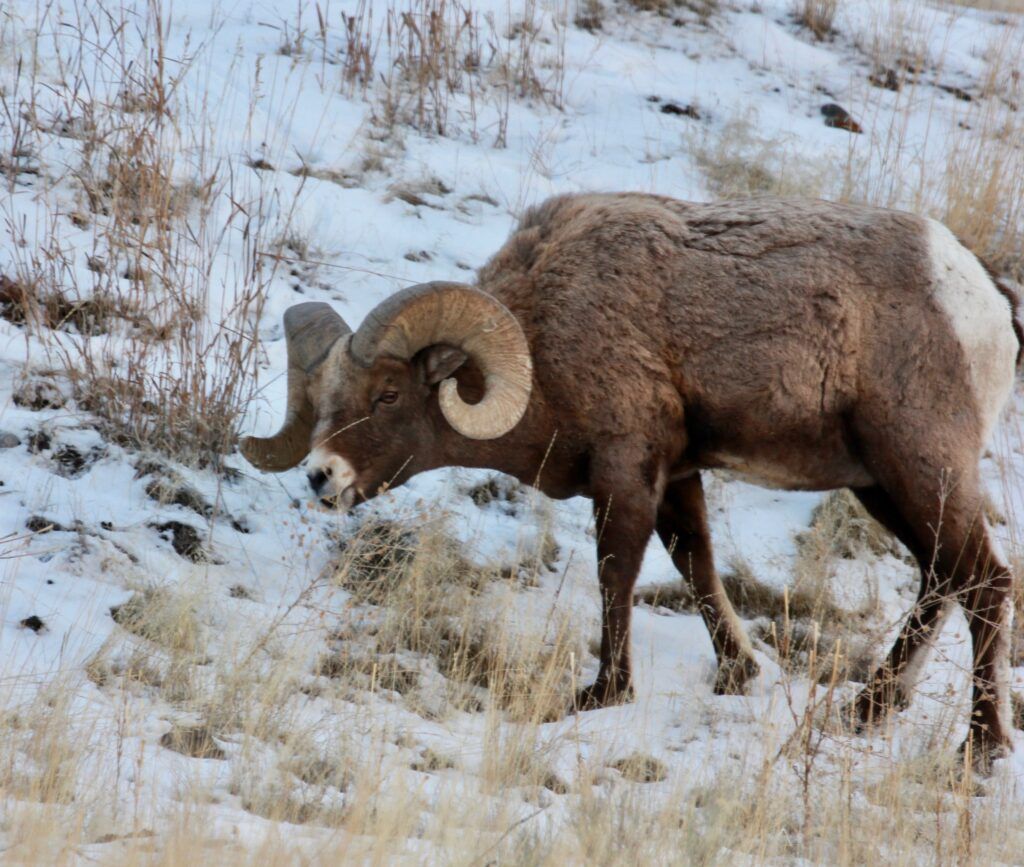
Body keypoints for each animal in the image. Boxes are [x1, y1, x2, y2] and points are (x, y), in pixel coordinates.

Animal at [241, 193, 1020, 767]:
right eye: (327, 399)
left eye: (387, 397)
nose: (321, 478)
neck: (548, 339)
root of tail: (980, 297)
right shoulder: (676, 475)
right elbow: (695, 563)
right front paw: (737, 673)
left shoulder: (626, 468)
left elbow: (616, 572)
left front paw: (604, 692)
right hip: (880, 485)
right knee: (942, 577)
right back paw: (871, 708)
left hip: (919, 466)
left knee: (983, 580)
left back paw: (978, 747)